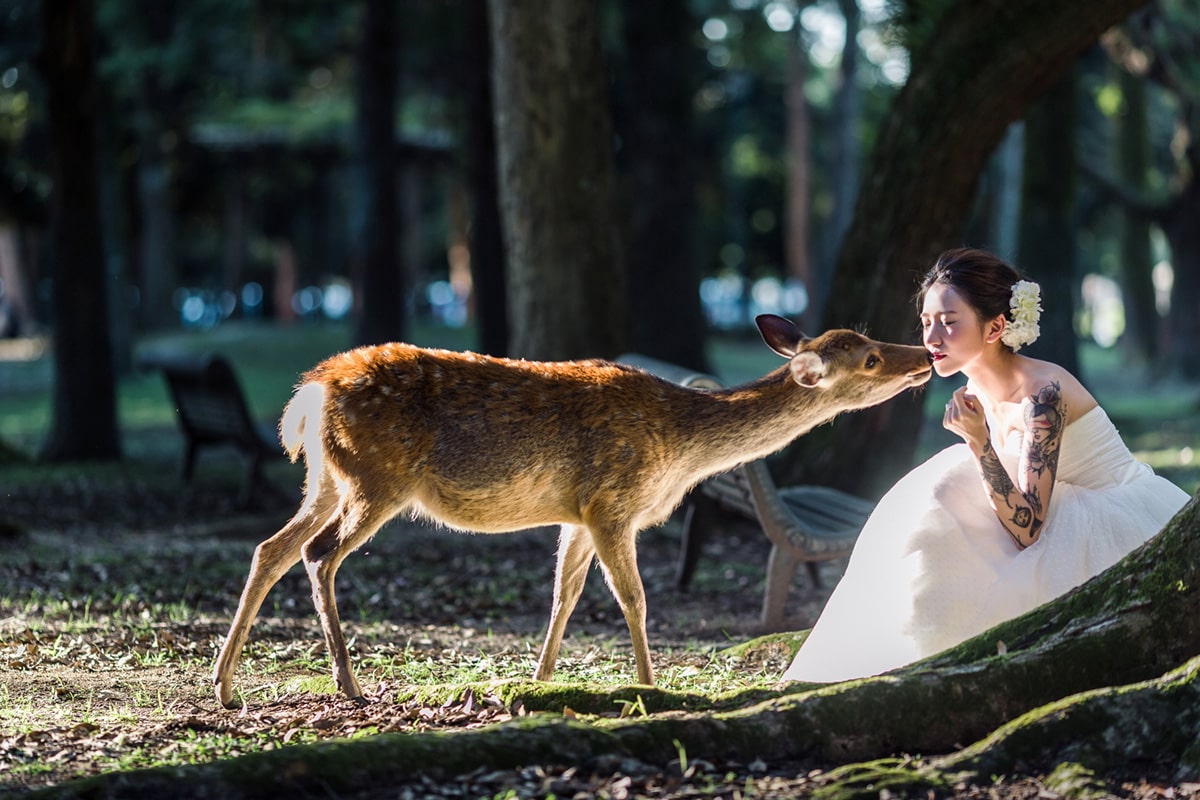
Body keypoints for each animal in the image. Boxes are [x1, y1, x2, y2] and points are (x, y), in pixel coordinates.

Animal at [211, 311, 931, 705]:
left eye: (866, 340)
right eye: (871, 358)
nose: (924, 354)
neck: (681, 448)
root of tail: (309, 396)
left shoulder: (576, 511)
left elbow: (564, 593)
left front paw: (541, 677)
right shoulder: (614, 500)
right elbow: (633, 598)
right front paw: (649, 684)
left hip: (326, 478)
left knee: (270, 547)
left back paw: (225, 684)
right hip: (376, 479)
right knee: (317, 554)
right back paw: (347, 683)